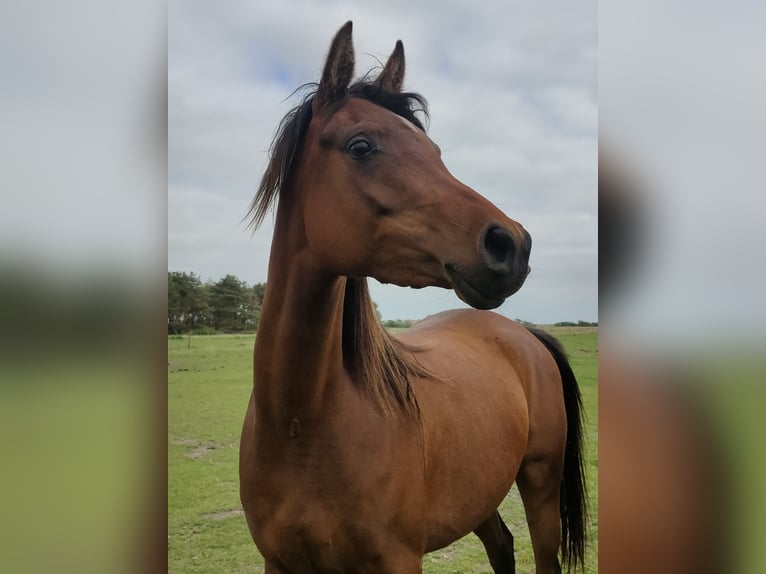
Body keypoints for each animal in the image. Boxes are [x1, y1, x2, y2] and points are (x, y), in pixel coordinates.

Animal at [240, 21, 588, 574]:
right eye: (361, 146)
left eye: (436, 152)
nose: (511, 244)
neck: (299, 425)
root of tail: (525, 335)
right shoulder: (280, 563)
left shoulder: (399, 559)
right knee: (501, 545)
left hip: (540, 484)